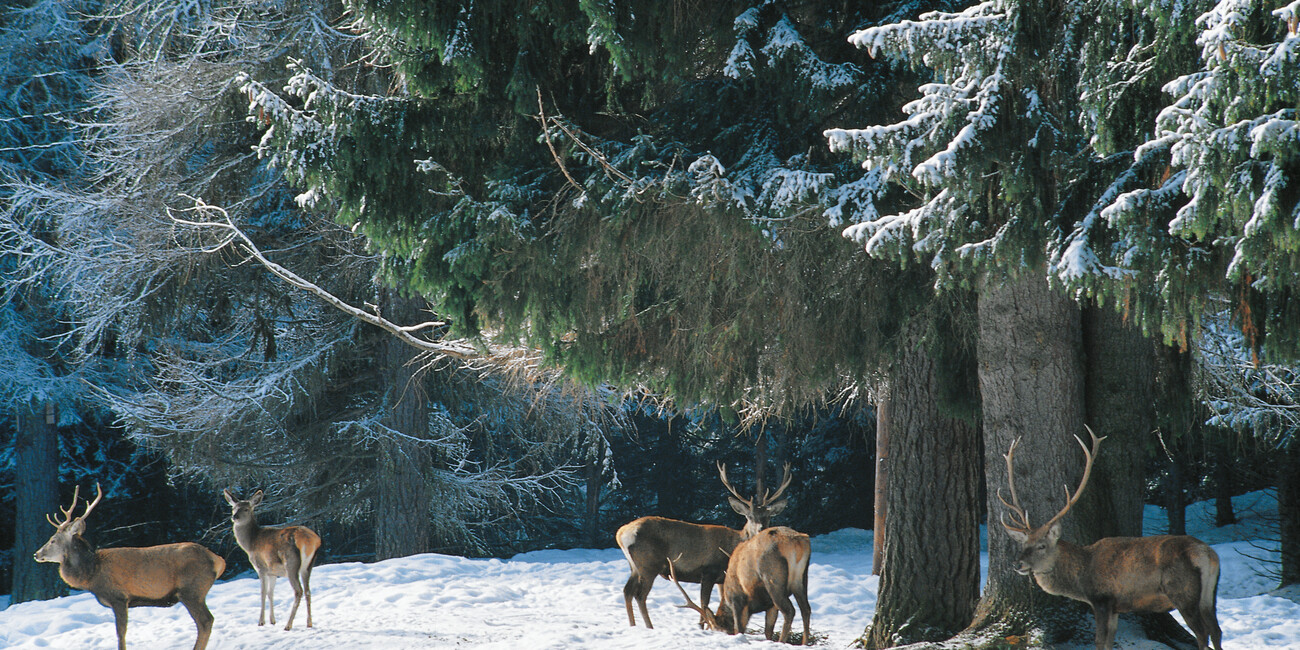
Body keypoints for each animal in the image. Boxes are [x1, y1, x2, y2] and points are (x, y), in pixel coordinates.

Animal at [33, 483, 226, 650]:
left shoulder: (119, 597)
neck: (91, 574)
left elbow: (121, 633)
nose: (37, 554)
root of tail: (217, 560)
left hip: (191, 590)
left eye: (53, 540)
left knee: (206, 621)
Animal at [222, 488, 321, 631]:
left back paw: (288, 625)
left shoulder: (261, 567)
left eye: (246, 509)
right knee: (308, 591)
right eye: (233, 508)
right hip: (308, 566)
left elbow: (263, 592)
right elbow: (271, 593)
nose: (235, 516)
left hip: (291, 564)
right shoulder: (273, 572)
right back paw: (309, 623)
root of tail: (310, 540)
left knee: (298, 591)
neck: (250, 544)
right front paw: (272, 620)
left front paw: (261, 621)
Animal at [616, 460, 790, 626]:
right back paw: (649, 626)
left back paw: (632, 625)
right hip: (649, 564)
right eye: (749, 516)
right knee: (640, 595)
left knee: (627, 591)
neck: (732, 547)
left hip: (635, 566)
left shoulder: (721, 578)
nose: (761, 528)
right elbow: (704, 603)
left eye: (768, 516)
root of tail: (621, 534)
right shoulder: (708, 571)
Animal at [998, 426, 1222, 650]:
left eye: (1042, 546)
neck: (1082, 577)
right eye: (1023, 544)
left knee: (1202, 633)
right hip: (1209, 595)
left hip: (1182, 592)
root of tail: (1208, 555)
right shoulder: (1116, 607)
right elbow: (1109, 641)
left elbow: (1100, 641)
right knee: (1216, 631)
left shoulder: (1102, 599)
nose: (1018, 564)